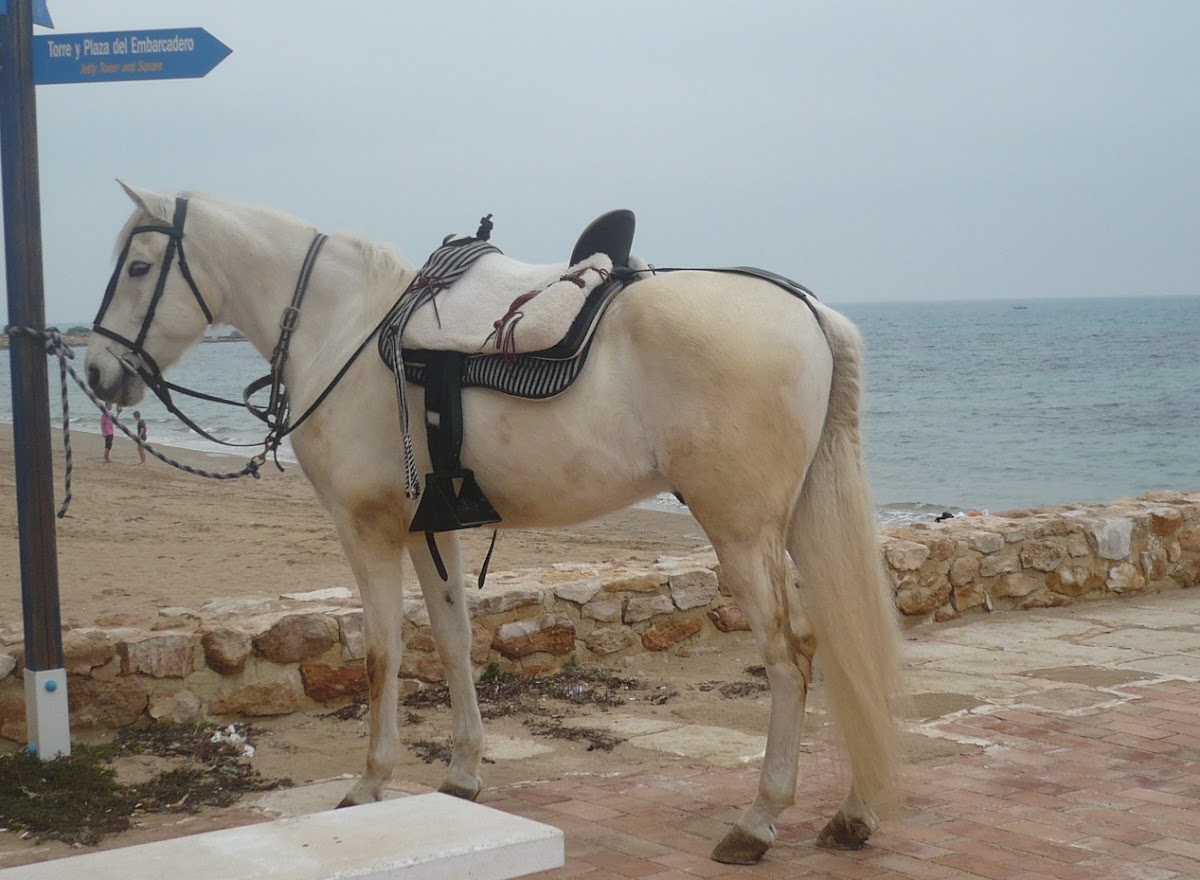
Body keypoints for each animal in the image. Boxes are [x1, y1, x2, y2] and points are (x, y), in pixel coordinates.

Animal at [84, 182, 906, 865]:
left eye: (138, 267)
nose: (95, 372)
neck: (345, 326)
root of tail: (807, 310)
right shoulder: (429, 529)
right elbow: (452, 642)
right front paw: (462, 775)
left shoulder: (368, 529)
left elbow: (381, 653)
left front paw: (370, 785)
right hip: (789, 525)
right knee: (839, 644)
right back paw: (854, 811)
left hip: (741, 531)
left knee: (791, 656)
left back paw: (758, 821)